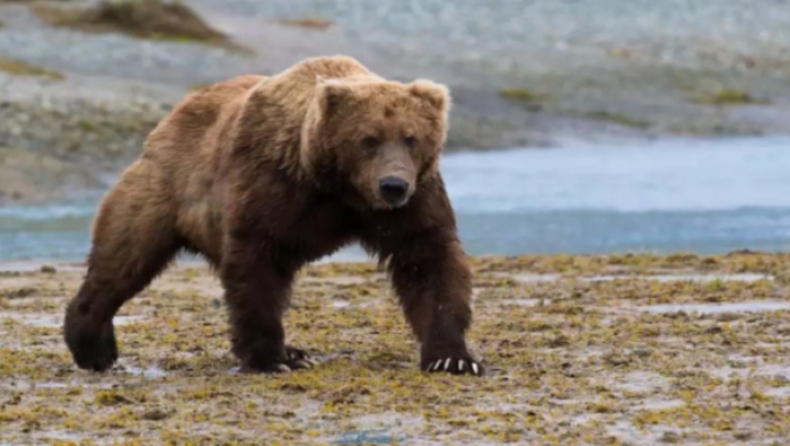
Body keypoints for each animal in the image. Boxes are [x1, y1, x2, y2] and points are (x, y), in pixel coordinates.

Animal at [63, 55, 482, 376]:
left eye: (411, 138)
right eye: (369, 139)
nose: (392, 185)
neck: (336, 185)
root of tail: (171, 117)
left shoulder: (415, 200)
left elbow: (427, 259)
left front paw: (452, 357)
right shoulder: (271, 185)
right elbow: (256, 265)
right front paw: (271, 359)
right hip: (164, 187)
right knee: (125, 256)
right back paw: (92, 345)